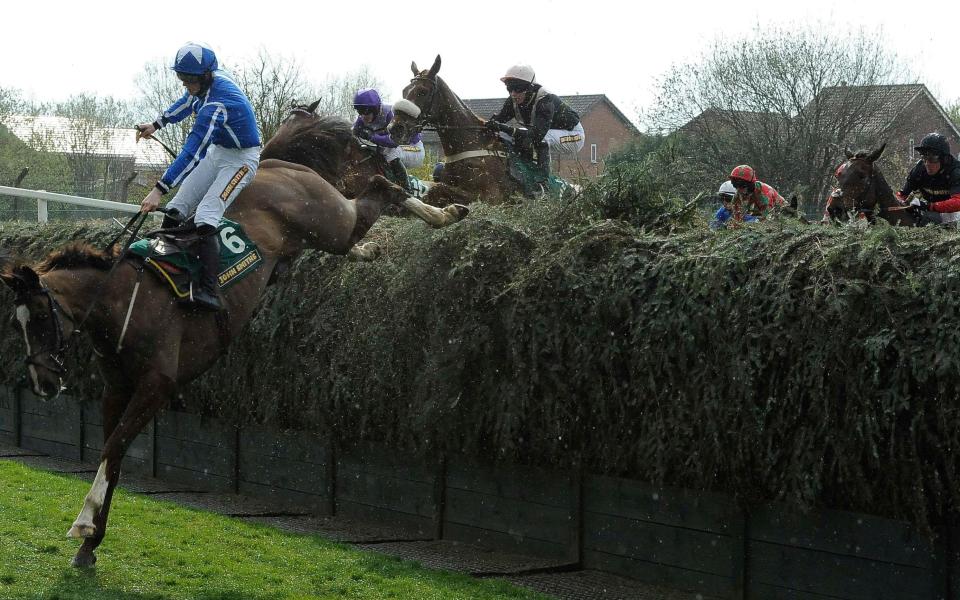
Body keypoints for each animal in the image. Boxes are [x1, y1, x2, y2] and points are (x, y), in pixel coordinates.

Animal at [0, 113, 464, 568]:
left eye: (39, 317)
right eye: (16, 325)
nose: (42, 383)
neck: (121, 301)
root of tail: (278, 163)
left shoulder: (157, 385)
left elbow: (114, 447)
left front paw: (83, 524)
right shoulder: (118, 388)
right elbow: (112, 453)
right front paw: (91, 541)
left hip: (328, 219)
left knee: (379, 188)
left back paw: (444, 214)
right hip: (314, 238)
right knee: (356, 225)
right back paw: (374, 248)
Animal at [384, 55, 524, 209]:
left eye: (423, 92)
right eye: (404, 91)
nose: (395, 128)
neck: (471, 146)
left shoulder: (492, 199)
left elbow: (437, 189)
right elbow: (432, 192)